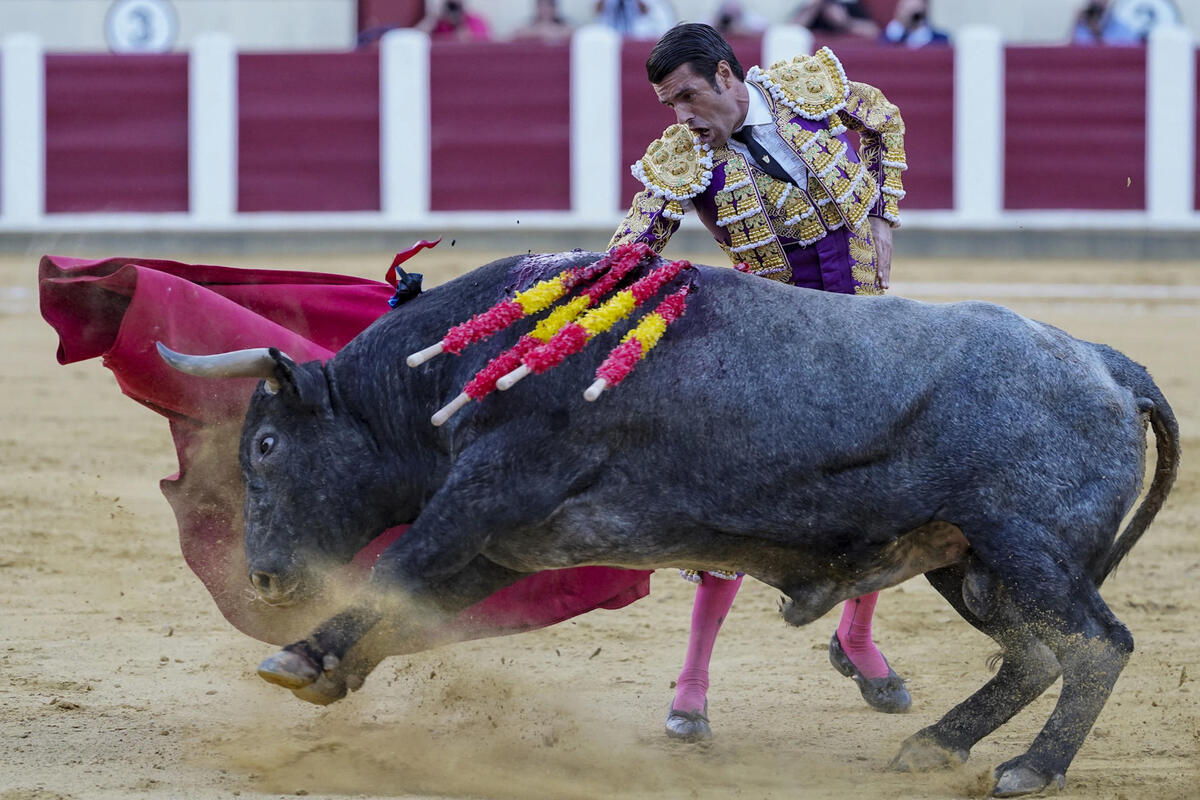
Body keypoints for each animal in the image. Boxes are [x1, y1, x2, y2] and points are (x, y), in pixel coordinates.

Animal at [159, 248, 1180, 796]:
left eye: (264, 447)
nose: (265, 577)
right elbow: (418, 605)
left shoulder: (482, 498)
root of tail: (1105, 361)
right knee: (1036, 652)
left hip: (1026, 547)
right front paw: (327, 668)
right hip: (968, 562)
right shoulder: (507, 542)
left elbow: (396, 569)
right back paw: (934, 743)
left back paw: (1030, 768)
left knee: (1097, 645)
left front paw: (299, 655)